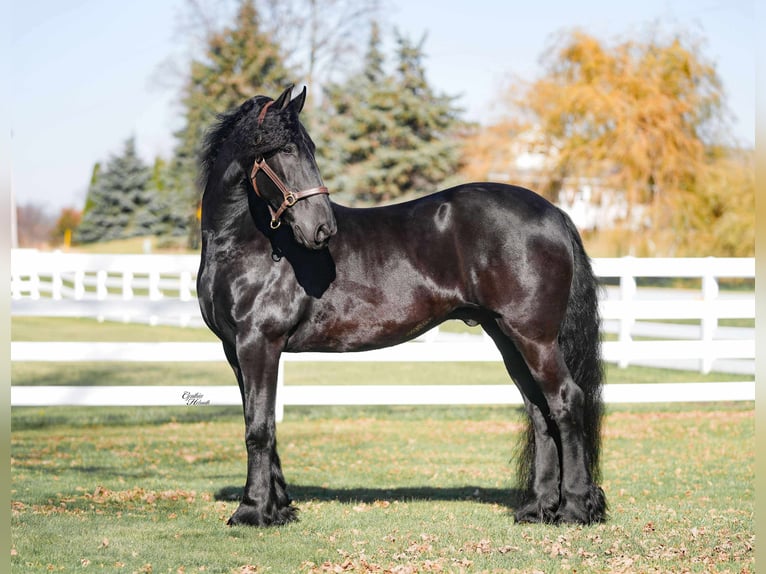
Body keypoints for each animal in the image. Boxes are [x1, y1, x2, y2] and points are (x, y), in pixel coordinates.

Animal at [197, 85, 607, 527]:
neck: (243, 244)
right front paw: (279, 507)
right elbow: (262, 424)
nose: (322, 228)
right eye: (286, 149)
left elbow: (258, 428)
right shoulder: (236, 350)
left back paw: (573, 508)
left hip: (535, 338)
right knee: (539, 411)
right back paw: (539, 508)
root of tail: (554, 212)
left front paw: (252, 511)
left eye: (308, 149)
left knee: (565, 401)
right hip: (508, 337)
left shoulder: (259, 344)